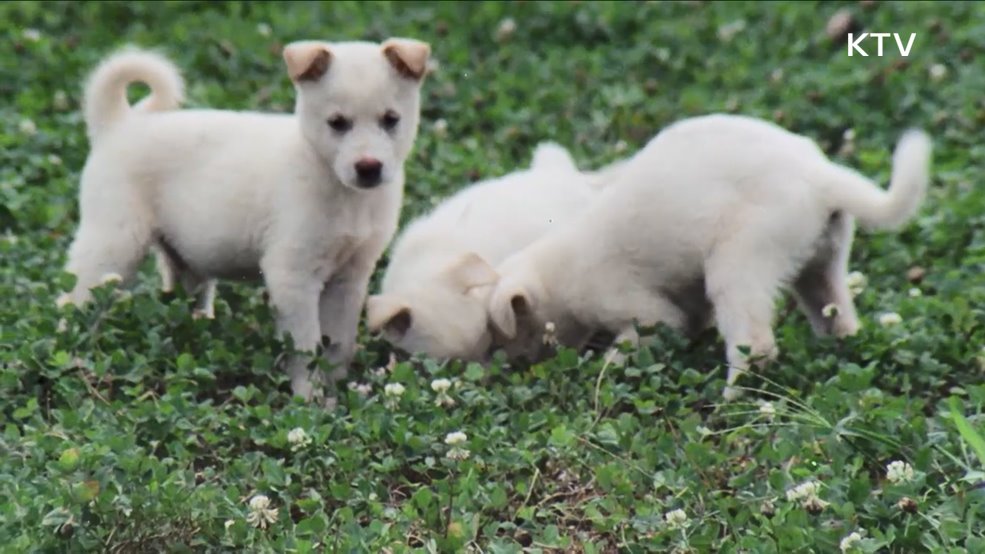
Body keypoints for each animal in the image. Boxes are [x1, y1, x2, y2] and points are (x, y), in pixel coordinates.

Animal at [60, 40, 430, 402]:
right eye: (337, 123)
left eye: (391, 120)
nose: (369, 167)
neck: (344, 193)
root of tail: (119, 125)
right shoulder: (292, 276)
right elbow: (305, 348)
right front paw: (308, 401)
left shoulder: (350, 278)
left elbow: (338, 345)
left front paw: (336, 396)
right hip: (113, 243)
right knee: (72, 300)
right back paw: (70, 353)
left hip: (185, 262)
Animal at [488, 113, 936, 396]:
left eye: (503, 331)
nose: (511, 368)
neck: (557, 270)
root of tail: (821, 176)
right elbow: (692, 321)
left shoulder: (640, 310)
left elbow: (640, 339)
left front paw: (603, 373)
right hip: (821, 263)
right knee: (837, 316)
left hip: (739, 260)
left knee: (754, 343)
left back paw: (731, 400)